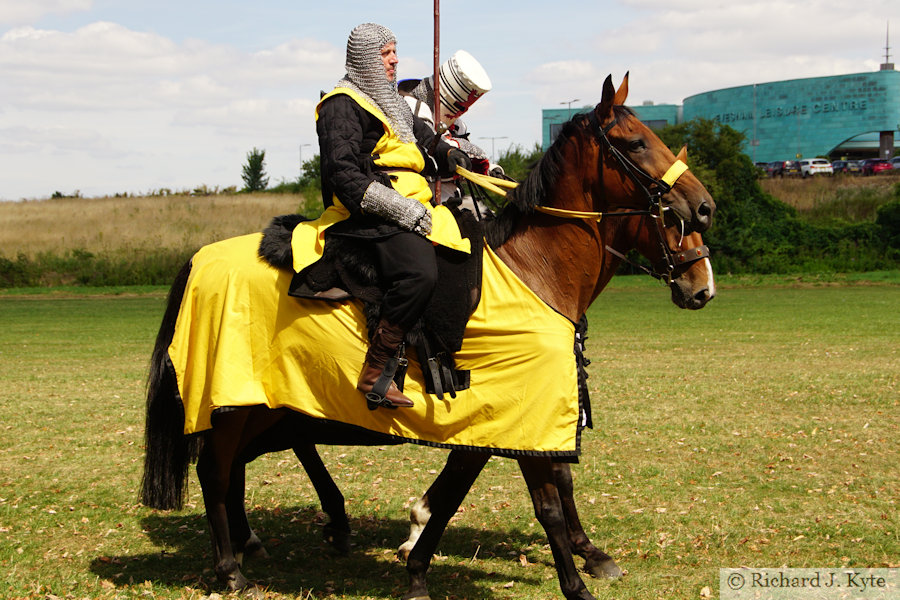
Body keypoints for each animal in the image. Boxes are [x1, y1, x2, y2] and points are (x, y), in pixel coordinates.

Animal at [141, 72, 716, 596]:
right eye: (637, 142)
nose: (704, 207)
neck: (532, 272)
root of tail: (202, 257)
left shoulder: (514, 421)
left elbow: (484, 489)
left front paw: (419, 562)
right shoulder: (515, 415)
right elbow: (539, 501)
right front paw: (572, 579)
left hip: (261, 406)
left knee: (235, 466)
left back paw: (260, 542)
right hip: (237, 404)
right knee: (216, 470)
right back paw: (232, 568)